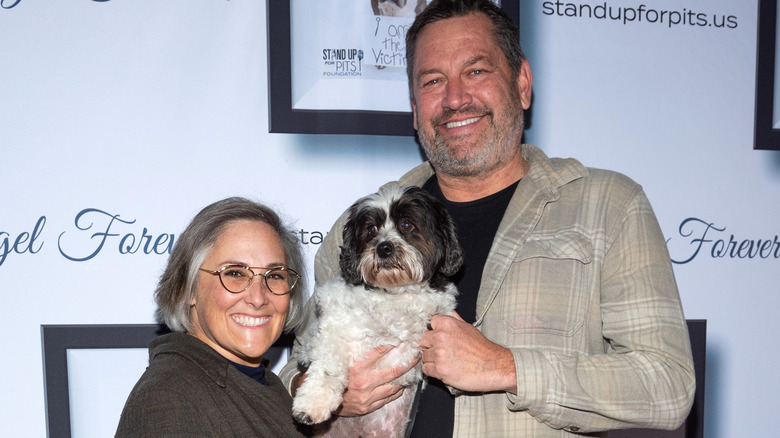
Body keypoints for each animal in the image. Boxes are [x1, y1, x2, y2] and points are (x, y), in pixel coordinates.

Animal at [292, 186, 464, 438]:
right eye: (371, 229)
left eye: (407, 225)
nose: (384, 247)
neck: (394, 293)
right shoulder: (335, 331)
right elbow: (327, 369)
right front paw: (312, 404)